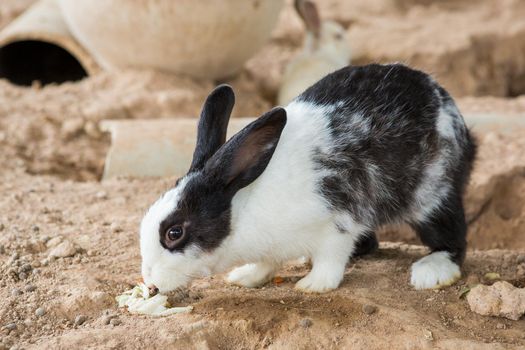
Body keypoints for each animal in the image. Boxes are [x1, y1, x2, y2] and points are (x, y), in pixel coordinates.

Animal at [139, 63, 474, 292]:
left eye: (174, 233)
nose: (150, 282)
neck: (243, 204)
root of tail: (447, 102)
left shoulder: (338, 222)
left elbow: (332, 258)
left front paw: (314, 285)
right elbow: (267, 262)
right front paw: (246, 276)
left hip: (433, 195)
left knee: (452, 237)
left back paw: (431, 271)